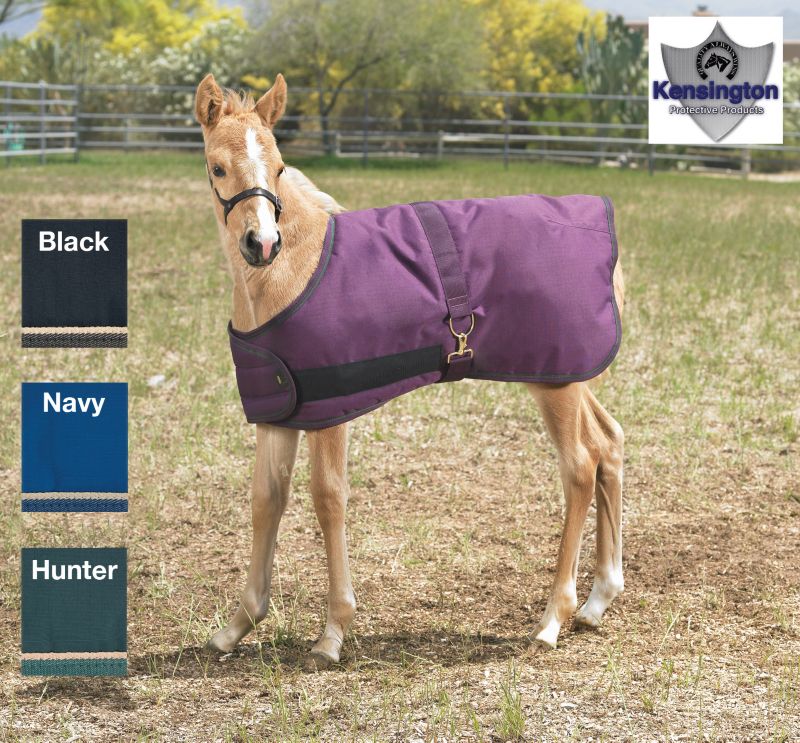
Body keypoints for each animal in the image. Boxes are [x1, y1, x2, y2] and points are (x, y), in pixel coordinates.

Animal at [194, 73, 626, 670]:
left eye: (279, 167)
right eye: (217, 167)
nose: (262, 243)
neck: (291, 273)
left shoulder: (330, 409)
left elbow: (328, 498)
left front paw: (332, 633)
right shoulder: (278, 412)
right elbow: (266, 499)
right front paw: (237, 626)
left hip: (555, 383)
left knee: (581, 467)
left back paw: (552, 619)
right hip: (573, 373)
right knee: (609, 444)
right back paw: (598, 599)